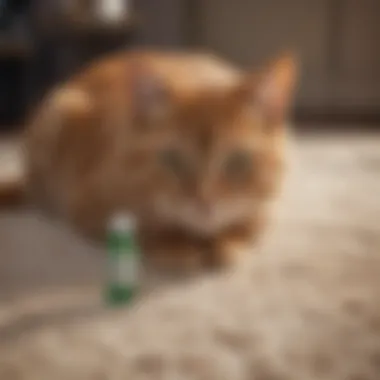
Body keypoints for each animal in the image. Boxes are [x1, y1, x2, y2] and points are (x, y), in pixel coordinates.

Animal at [23, 49, 298, 272]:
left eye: (238, 161)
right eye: (172, 159)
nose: (203, 202)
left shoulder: (262, 207)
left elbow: (250, 223)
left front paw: (228, 242)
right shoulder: (87, 206)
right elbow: (147, 229)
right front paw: (175, 244)